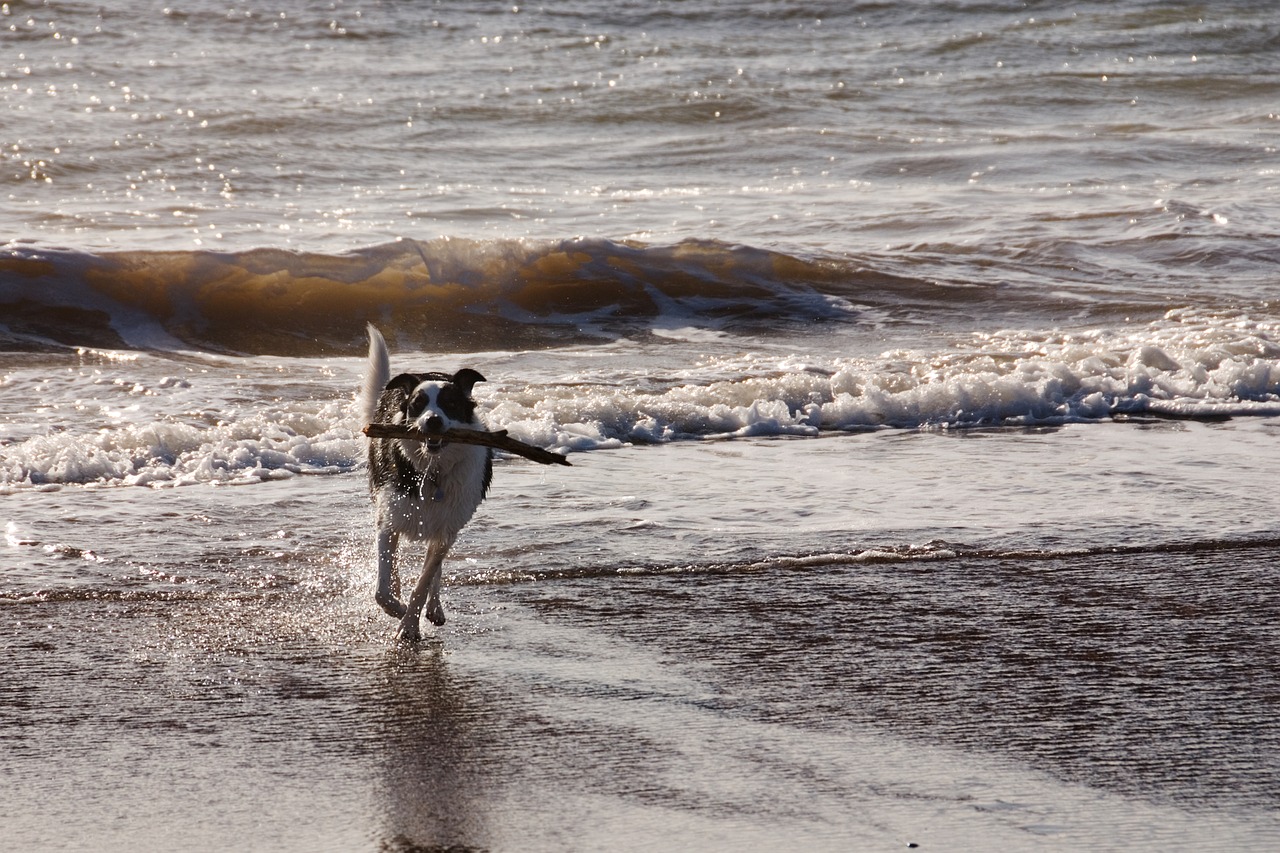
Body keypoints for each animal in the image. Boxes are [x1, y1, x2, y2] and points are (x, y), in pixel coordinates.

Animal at [358, 324, 491, 637]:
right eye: (418, 405)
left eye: (450, 404)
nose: (433, 421)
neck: (433, 470)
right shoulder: (390, 516)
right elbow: (382, 589)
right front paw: (398, 608)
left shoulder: (447, 527)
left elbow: (424, 580)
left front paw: (409, 625)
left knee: (435, 568)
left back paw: (434, 608)